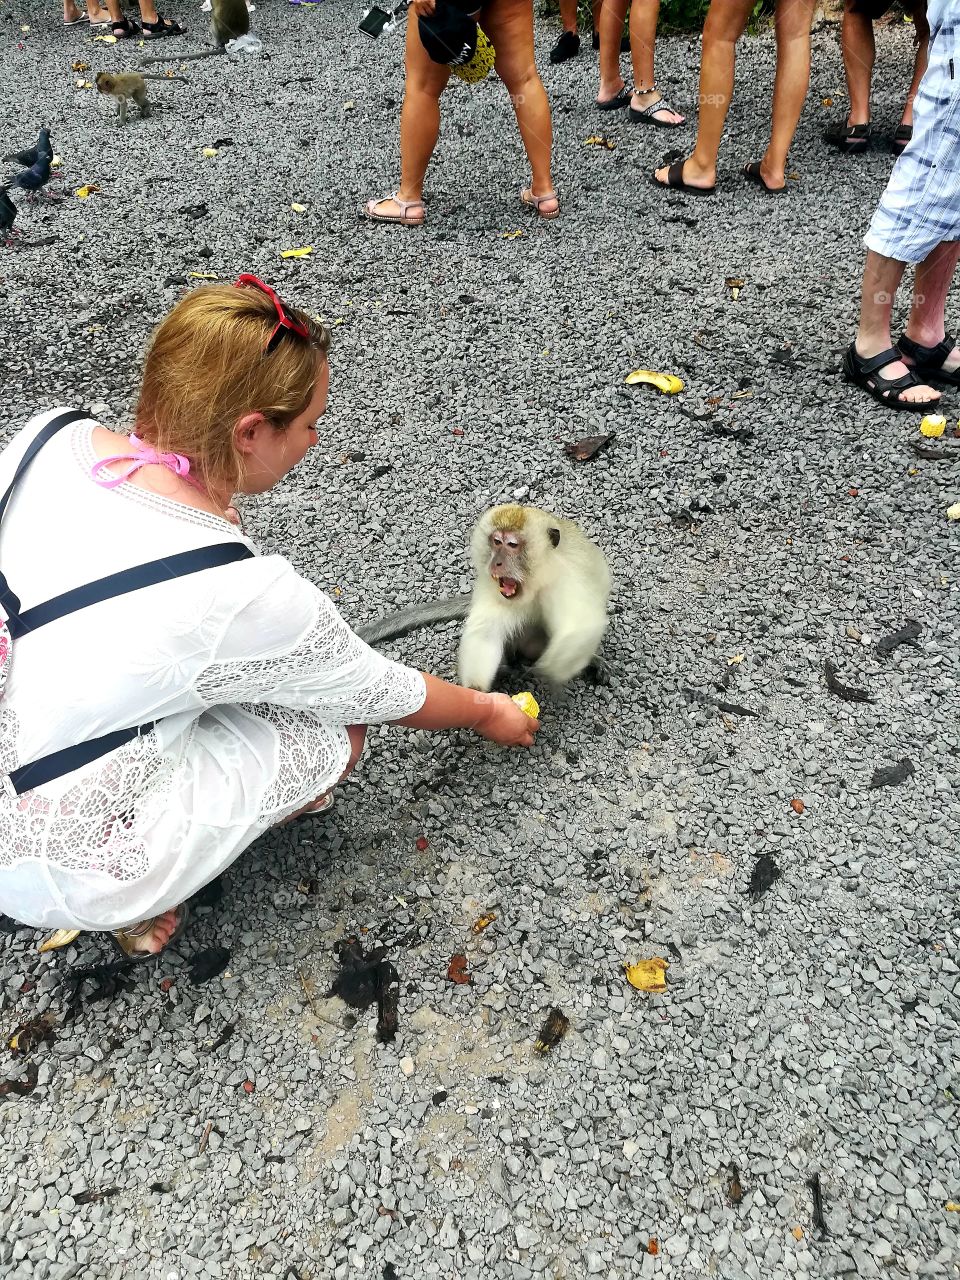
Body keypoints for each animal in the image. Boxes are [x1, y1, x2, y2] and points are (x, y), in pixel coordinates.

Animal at [355, 504, 611, 692]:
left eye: (512, 545)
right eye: (496, 542)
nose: (496, 562)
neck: (536, 581)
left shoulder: (570, 575)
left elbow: (581, 624)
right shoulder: (493, 587)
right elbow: (487, 632)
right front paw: (477, 694)